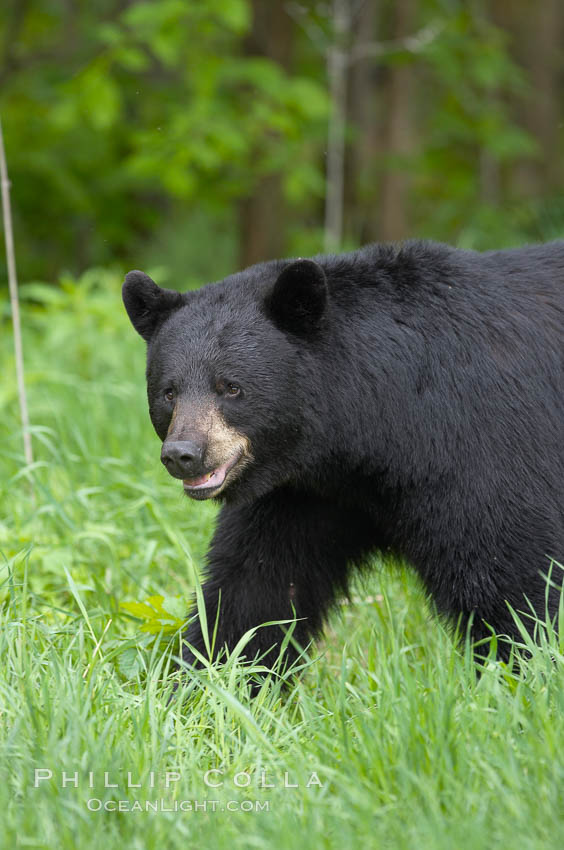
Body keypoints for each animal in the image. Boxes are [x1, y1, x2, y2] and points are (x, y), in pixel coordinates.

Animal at [122, 242, 564, 672]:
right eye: (169, 392)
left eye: (231, 387)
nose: (183, 454)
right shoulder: (303, 495)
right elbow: (256, 589)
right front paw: (209, 677)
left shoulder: (477, 444)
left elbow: (512, 578)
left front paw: (524, 672)